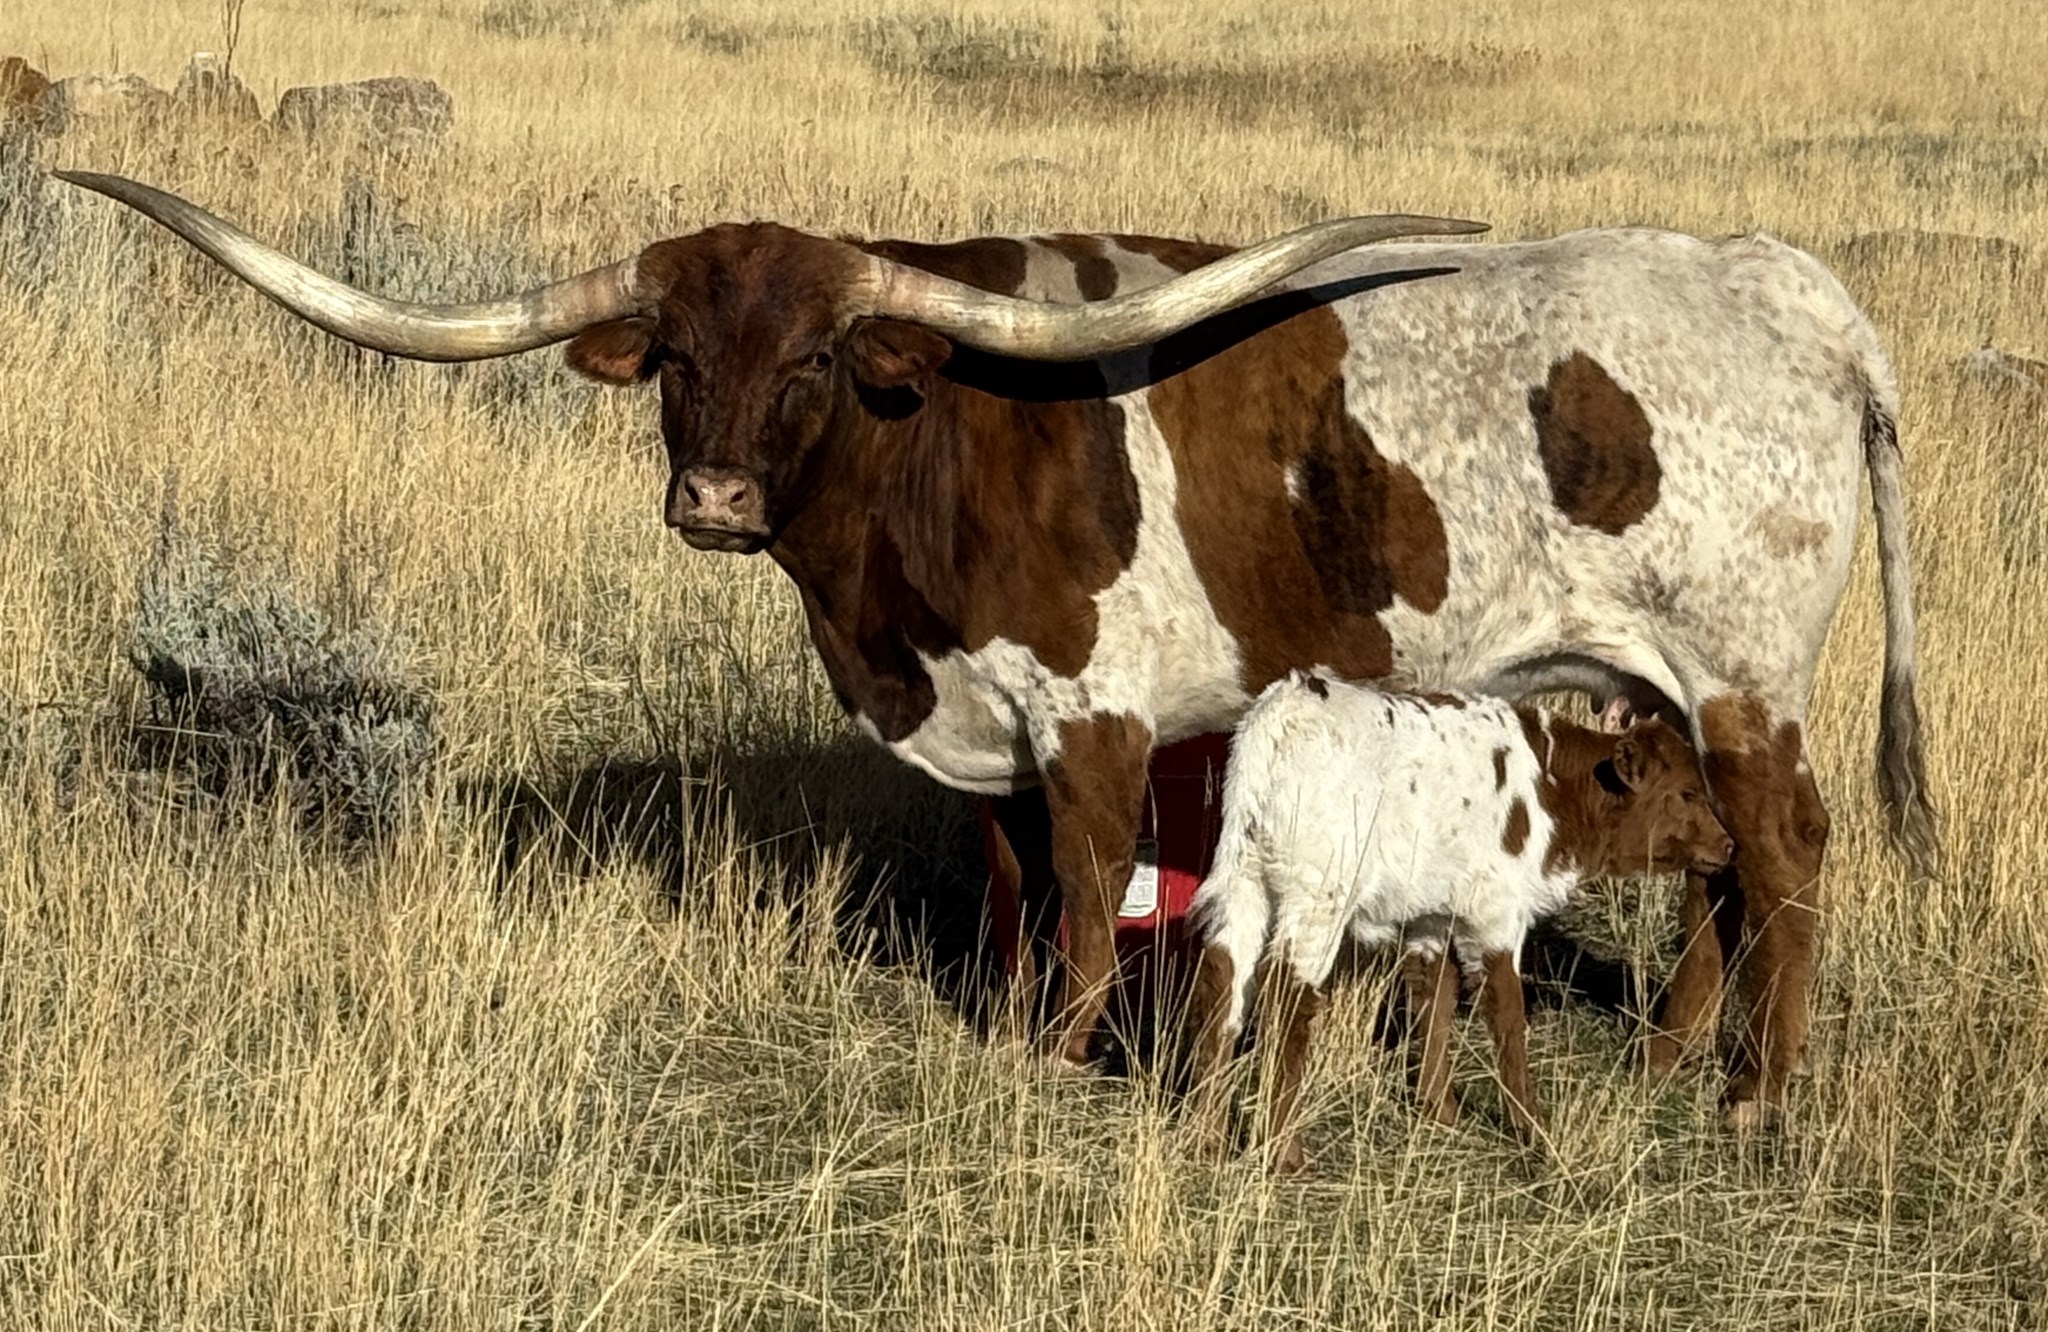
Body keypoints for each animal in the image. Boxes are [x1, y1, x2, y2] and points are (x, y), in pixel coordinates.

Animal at [1187, 675, 1734, 1169]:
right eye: (1687, 793)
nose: (1728, 845)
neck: (1553, 791)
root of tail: (1288, 706)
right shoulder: (1497, 912)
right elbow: (1507, 1013)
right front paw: (1534, 1131)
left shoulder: (1433, 913)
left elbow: (1436, 998)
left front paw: (1439, 1110)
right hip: (1319, 891)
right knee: (1287, 996)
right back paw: (1284, 1151)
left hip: (1243, 877)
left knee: (1224, 981)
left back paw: (1207, 1135)